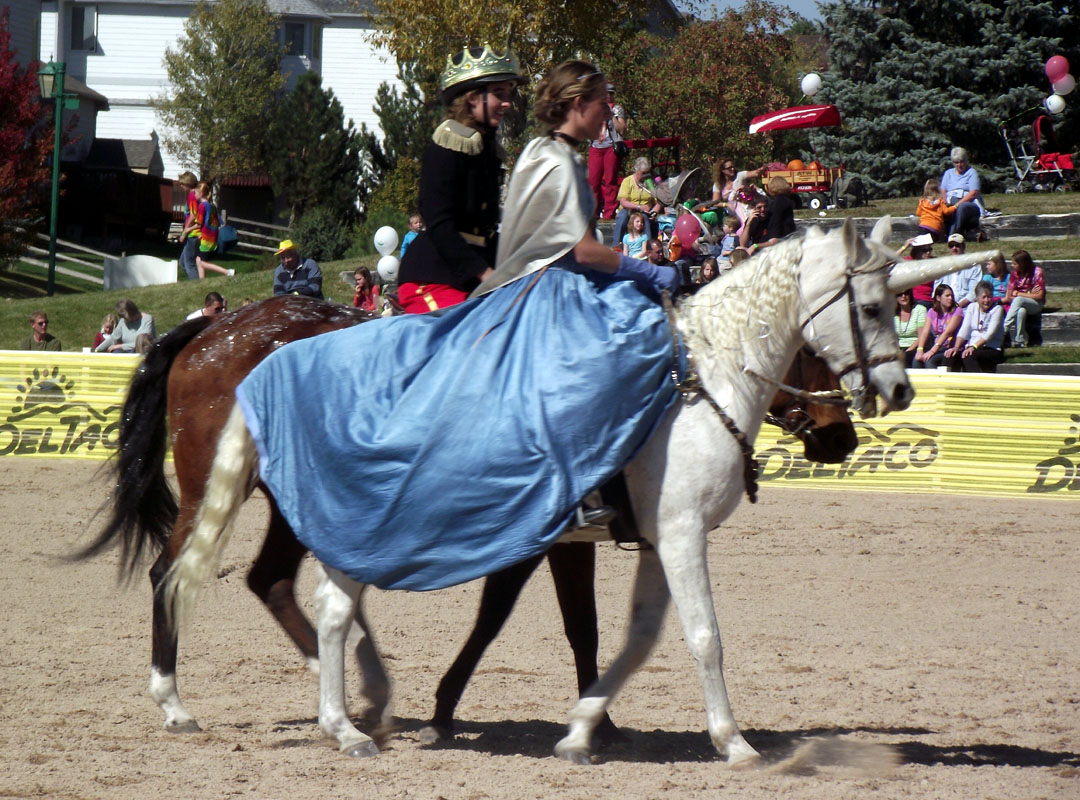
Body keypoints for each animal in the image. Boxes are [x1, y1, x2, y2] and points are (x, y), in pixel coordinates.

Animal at [85, 290, 854, 744]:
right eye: (812, 348)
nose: (842, 436)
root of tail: (212, 327)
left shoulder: (550, 536)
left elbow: (522, 619)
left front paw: (577, 714)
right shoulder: (558, 534)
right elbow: (552, 622)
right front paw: (583, 718)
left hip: (289, 502)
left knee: (270, 581)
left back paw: (356, 688)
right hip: (214, 490)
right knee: (171, 573)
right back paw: (178, 701)